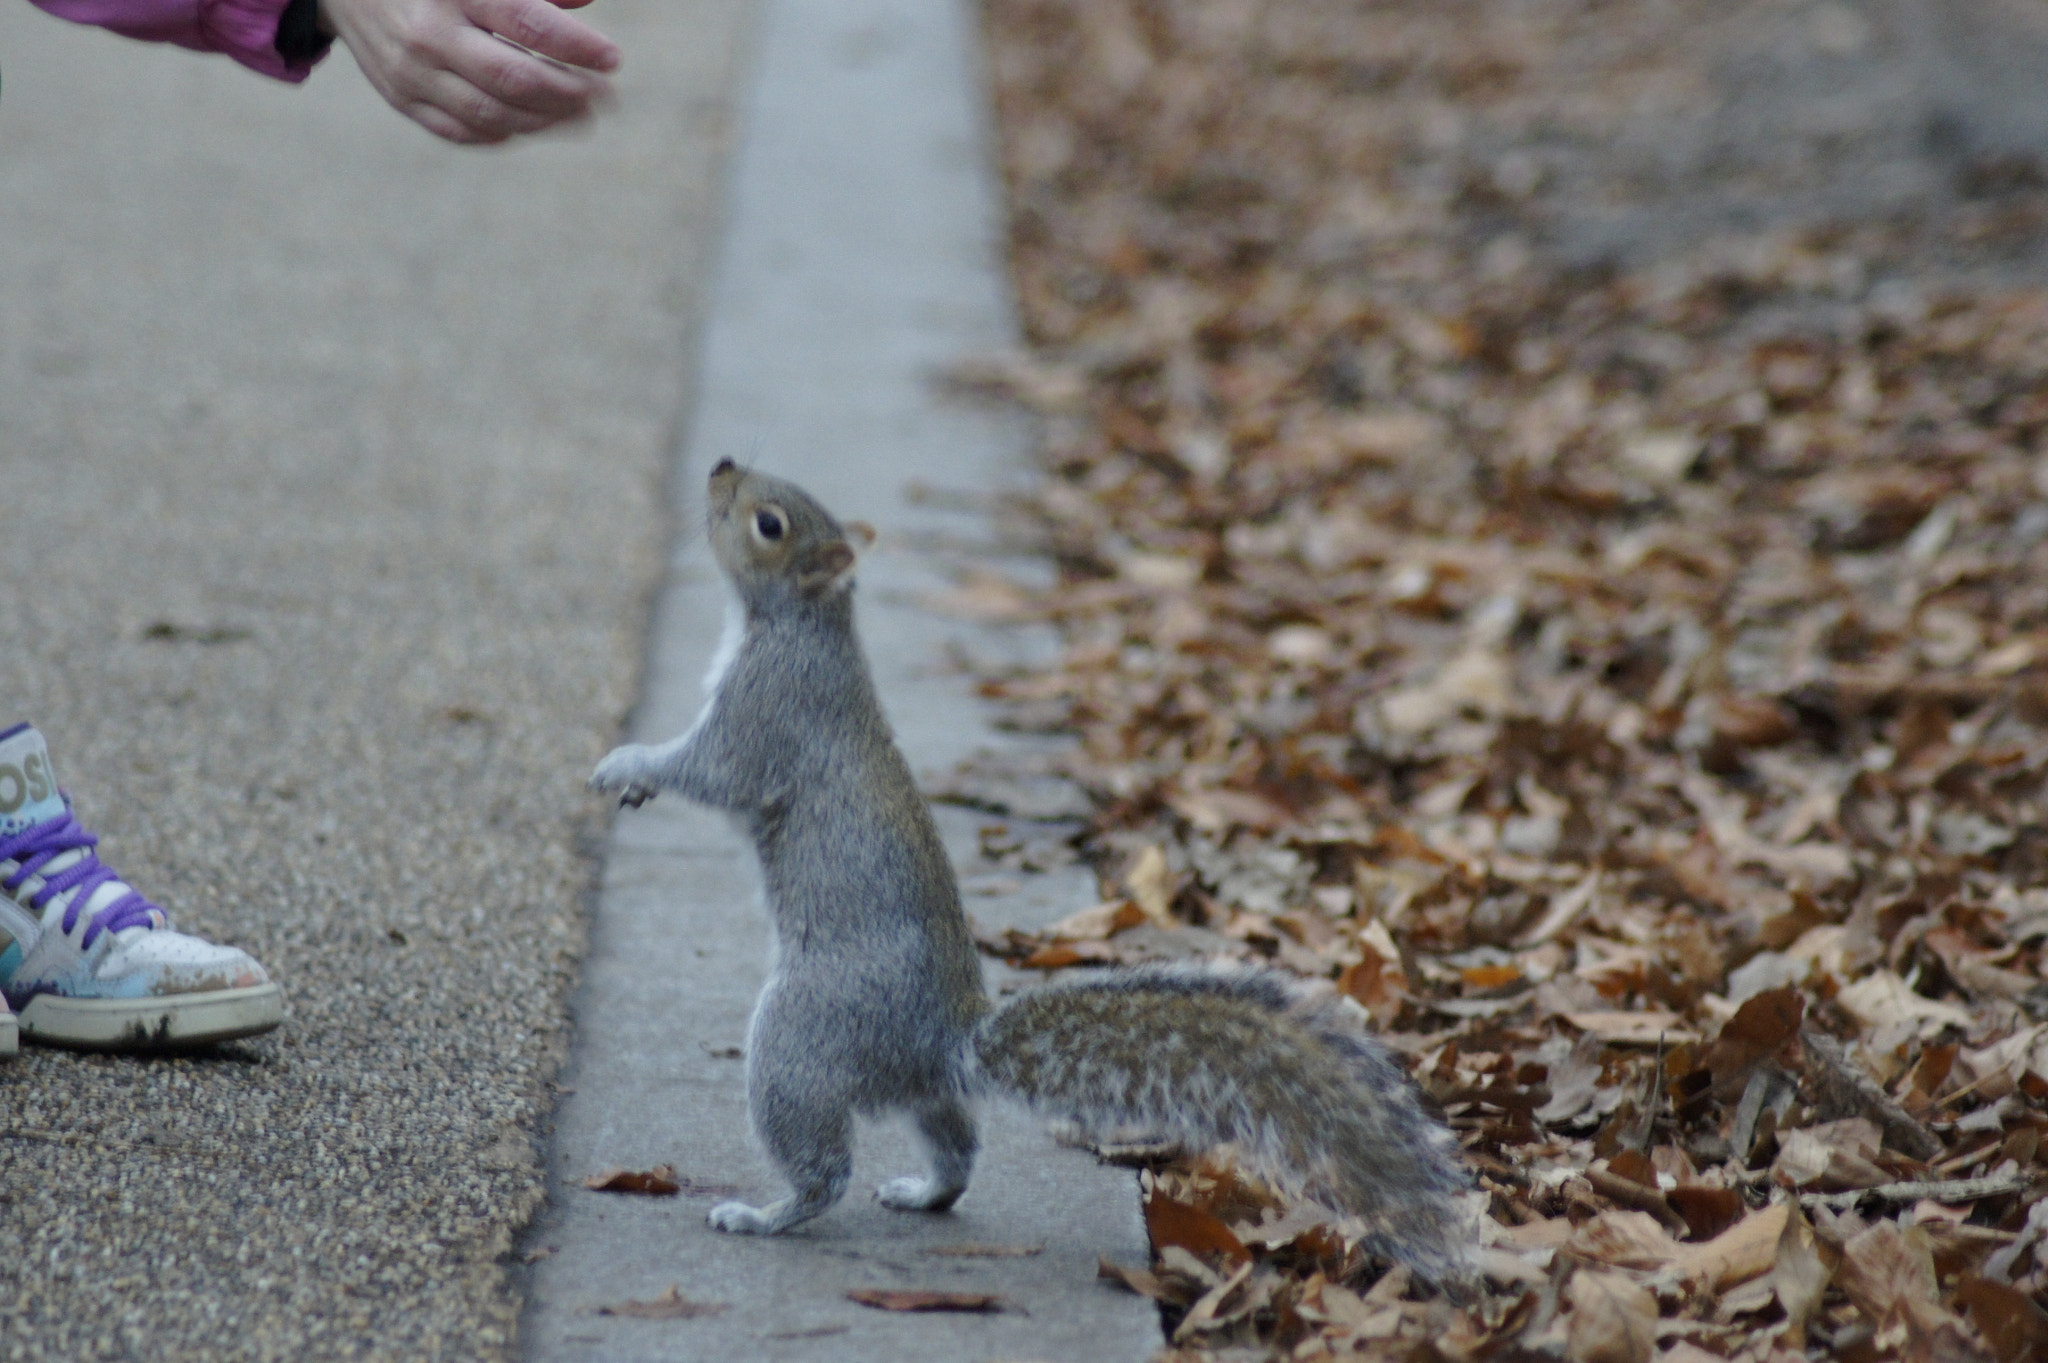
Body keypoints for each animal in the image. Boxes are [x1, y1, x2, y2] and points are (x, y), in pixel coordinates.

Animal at [593, 462, 1474, 1277]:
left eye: (769, 522)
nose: (721, 468)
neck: (798, 621)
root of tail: (941, 1039)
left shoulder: (765, 712)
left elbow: (712, 769)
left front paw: (626, 764)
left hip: (802, 1035)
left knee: (824, 1167)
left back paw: (767, 1213)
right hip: (917, 1089)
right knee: (956, 1146)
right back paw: (923, 1191)